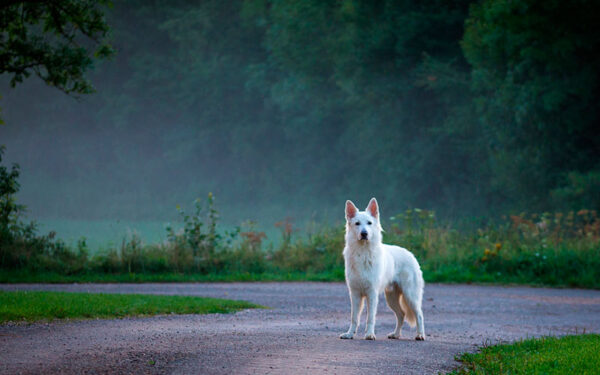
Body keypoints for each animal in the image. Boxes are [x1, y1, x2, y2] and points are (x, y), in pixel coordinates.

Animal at [340, 198, 424, 342]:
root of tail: (411, 254)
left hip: (410, 296)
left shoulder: (372, 294)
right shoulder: (355, 294)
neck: (363, 253)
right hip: (391, 298)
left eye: (369, 223)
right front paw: (350, 334)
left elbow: (370, 318)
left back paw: (420, 335)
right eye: (357, 224)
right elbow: (354, 318)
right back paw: (396, 334)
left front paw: (369, 334)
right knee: (401, 315)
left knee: (419, 315)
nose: (364, 233)